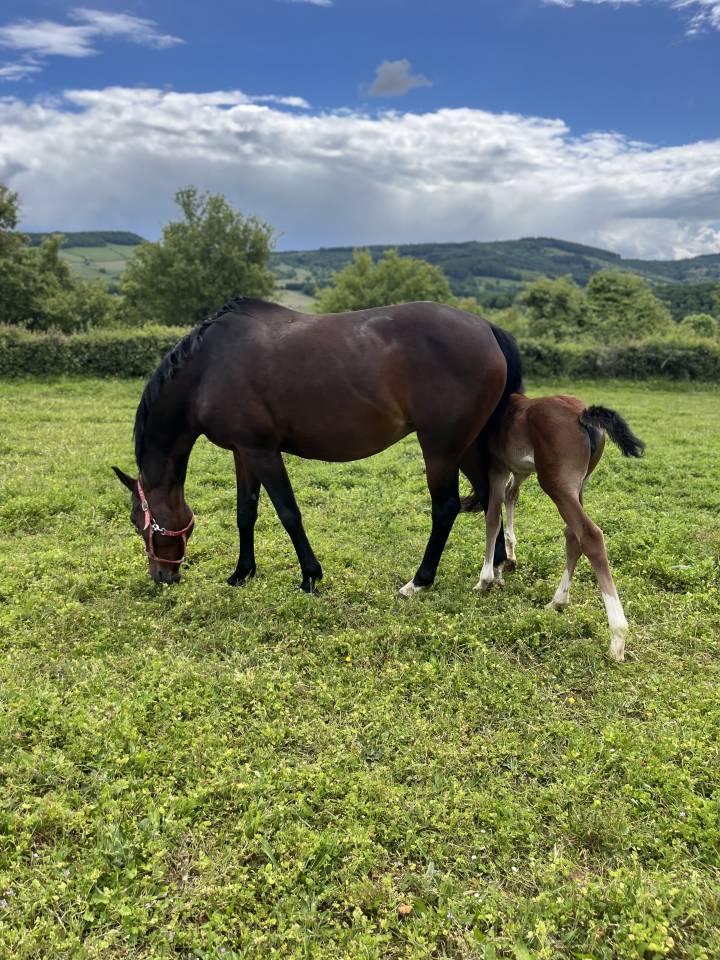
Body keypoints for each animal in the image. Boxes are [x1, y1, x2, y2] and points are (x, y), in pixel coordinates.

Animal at [113, 297, 523, 595]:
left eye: (135, 520)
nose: (162, 577)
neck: (209, 368)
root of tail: (487, 328)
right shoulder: (243, 452)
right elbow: (246, 513)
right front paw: (242, 573)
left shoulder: (262, 452)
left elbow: (288, 513)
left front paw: (310, 575)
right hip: (467, 445)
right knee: (489, 496)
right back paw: (496, 566)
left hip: (440, 447)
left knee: (446, 507)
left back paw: (420, 580)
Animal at [462, 393, 644, 661]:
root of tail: (582, 415)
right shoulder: (518, 470)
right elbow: (510, 497)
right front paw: (509, 558)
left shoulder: (497, 466)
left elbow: (493, 517)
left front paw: (485, 579)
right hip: (578, 484)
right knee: (573, 535)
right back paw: (558, 601)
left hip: (555, 483)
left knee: (589, 535)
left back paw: (617, 636)